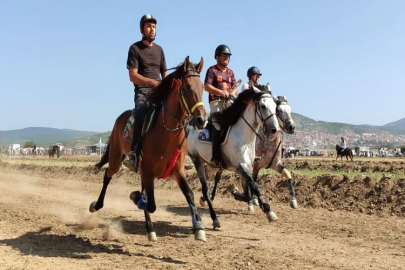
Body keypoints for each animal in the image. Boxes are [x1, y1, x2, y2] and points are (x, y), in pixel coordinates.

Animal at [89, 56, 207, 242]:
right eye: (187, 87)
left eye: (202, 87)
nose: (201, 119)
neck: (166, 133)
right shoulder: (148, 171)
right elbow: (150, 204)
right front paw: (134, 196)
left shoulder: (176, 170)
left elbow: (189, 194)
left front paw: (199, 227)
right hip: (117, 158)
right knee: (108, 174)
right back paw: (97, 204)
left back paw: (150, 228)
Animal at [187, 84, 280, 228]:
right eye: (263, 106)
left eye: (275, 106)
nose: (274, 129)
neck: (244, 138)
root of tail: (191, 127)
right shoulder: (241, 165)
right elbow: (256, 187)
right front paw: (269, 211)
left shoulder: (244, 167)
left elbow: (248, 194)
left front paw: (234, 191)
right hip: (197, 160)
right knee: (205, 188)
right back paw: (214, 218)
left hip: (211, 165)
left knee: (208, 176)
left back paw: (203, 200)